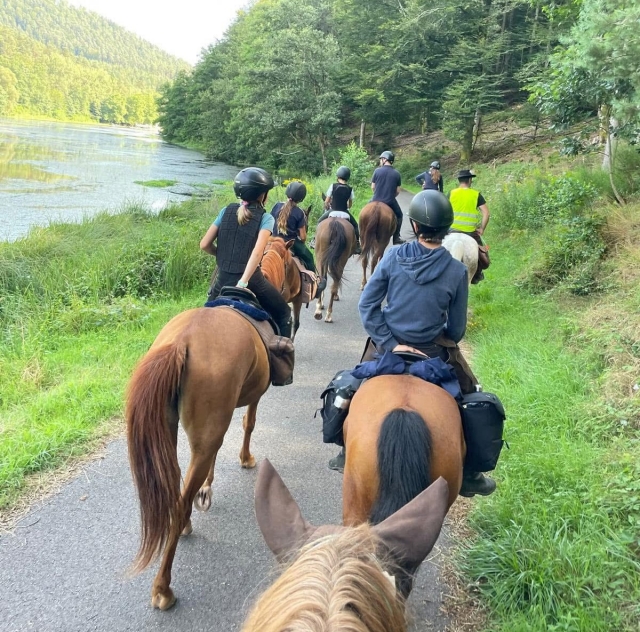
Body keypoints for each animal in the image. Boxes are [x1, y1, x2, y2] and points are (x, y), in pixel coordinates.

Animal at [126, 240, 295, 610]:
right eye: (291, 263)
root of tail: (182, 342)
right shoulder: (252, 399)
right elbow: (249, 424)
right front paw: (245, 459)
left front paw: (208, 488)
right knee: (179, 503)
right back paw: (163, 588)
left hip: (176, 431)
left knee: (180, 487)